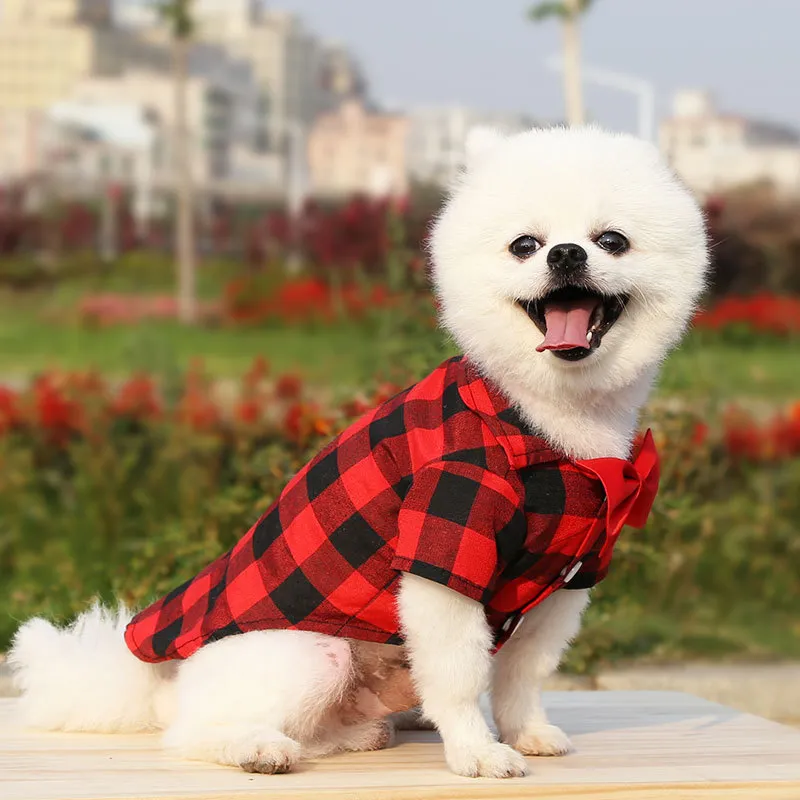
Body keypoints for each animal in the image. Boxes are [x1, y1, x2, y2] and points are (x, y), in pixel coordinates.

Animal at [6, 126, 708, 780]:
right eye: (524, 246)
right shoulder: (445, 542)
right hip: (312, 654)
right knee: (192, 732)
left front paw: (526, 730)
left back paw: (362, 733)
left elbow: (522, 673)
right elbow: (461, 675)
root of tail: (168, 689)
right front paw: (476, 751)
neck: (546, 422)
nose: (566, 253)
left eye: (611, 240)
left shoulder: (566, 575)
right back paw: (254, 747)